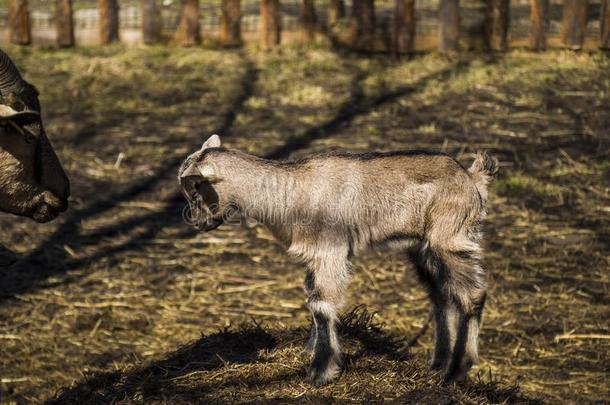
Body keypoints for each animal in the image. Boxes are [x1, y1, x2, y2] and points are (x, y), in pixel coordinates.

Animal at [176, 135, 494, 386]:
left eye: (195, 191)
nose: (197, 223)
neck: (291, 192)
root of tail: (473, 180)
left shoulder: (330, 252)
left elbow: (322, 305)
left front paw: (320, 372)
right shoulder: (314, 258)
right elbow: (313, 300)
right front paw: (309, 351)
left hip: (451, 238)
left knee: (473, 294)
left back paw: (456, 371)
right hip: (423, 248)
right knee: (442, 295)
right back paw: (438, 365)